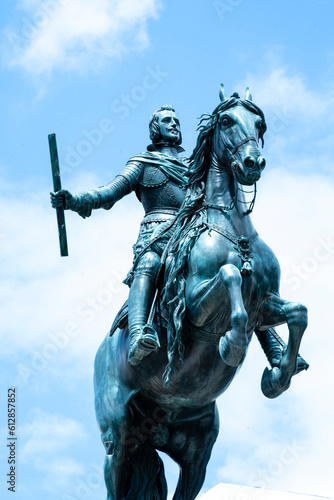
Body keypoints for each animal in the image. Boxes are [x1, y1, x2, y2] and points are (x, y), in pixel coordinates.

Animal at [93, 86, 308, 500]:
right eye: (226, 120)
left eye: (259, 123)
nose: (253, 162)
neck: (234, 230)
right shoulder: (191, 307)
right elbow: (229, 276)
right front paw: (232, 344)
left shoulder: (265, 305)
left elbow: (297, 312)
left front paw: (279, 374)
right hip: (118, 441)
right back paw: (143, 340)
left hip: (196, 451)